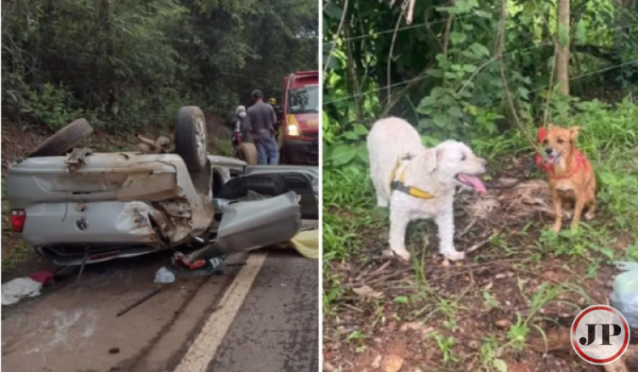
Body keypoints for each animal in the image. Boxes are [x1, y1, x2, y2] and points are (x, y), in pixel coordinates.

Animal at [368, 117, 488, 260]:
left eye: (471, 153)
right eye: (462, 157)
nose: (486, 164)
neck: (431, 186)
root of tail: (388, 118)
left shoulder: (444, 213)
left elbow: (447, 232)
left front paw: (450, 252)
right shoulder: (399, 213)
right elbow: (397, 234)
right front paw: (399, 252)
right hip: (374, 167)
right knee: (378, 188)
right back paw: (381, 205)